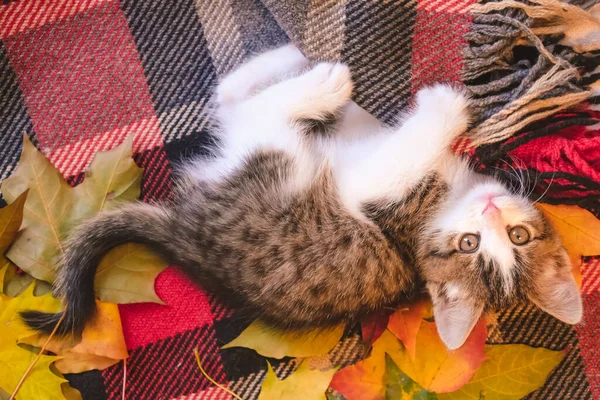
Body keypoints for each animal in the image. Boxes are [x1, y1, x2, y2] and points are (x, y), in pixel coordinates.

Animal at [22, 44, 580, 350]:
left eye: (510, 238)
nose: (490, 210)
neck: (445, 198)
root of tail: (186, 240)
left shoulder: (378, 190)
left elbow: (407, 145)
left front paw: (446, 107)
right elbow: (384, 133)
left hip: (273, 164)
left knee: (252, 114)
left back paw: (323, 82)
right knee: (233, 98)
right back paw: (293, 61)